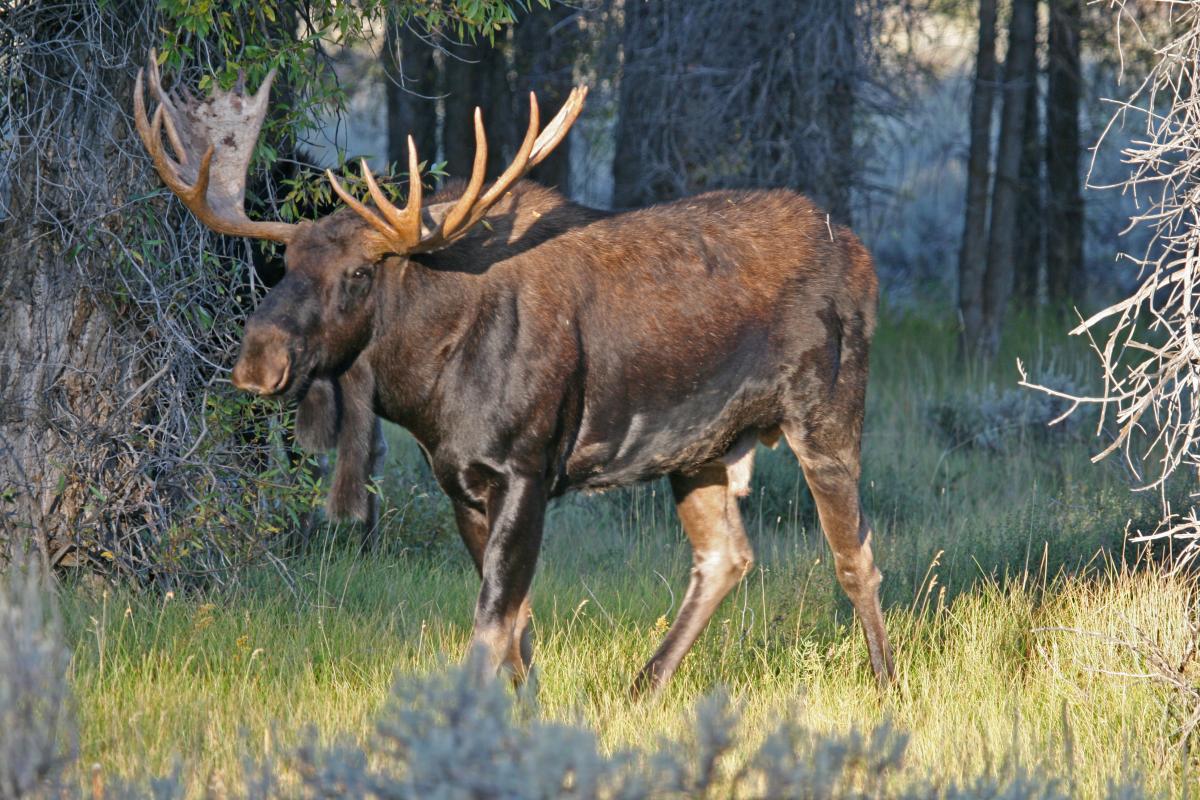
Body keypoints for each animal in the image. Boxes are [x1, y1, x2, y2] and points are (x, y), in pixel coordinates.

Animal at [133, 51, 892, 695]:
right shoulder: (461, 482)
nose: (258, 361)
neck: (427, 387)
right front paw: (528, 707)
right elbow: (518, 629)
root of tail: (863, 254)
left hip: (826, 415)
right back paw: (643, 687)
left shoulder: (528, 467)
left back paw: (886, 684)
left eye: (356, 275)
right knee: (725, 556)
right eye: (285, 264)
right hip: (697, 446)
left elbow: (492, 624)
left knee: (855, 556)